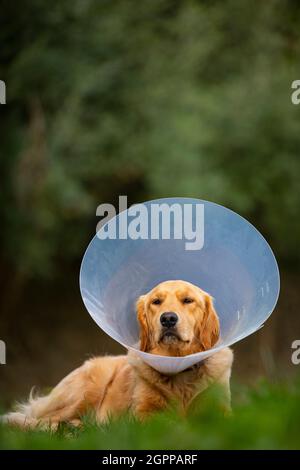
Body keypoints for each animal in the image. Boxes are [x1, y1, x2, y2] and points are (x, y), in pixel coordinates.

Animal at [1, 280, 233, 428]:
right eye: (156, 302)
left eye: (188, 300)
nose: (168, 319)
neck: (177, 362)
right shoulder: (142, 414)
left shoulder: (222, 411)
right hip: (86, 390)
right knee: (41, 420)